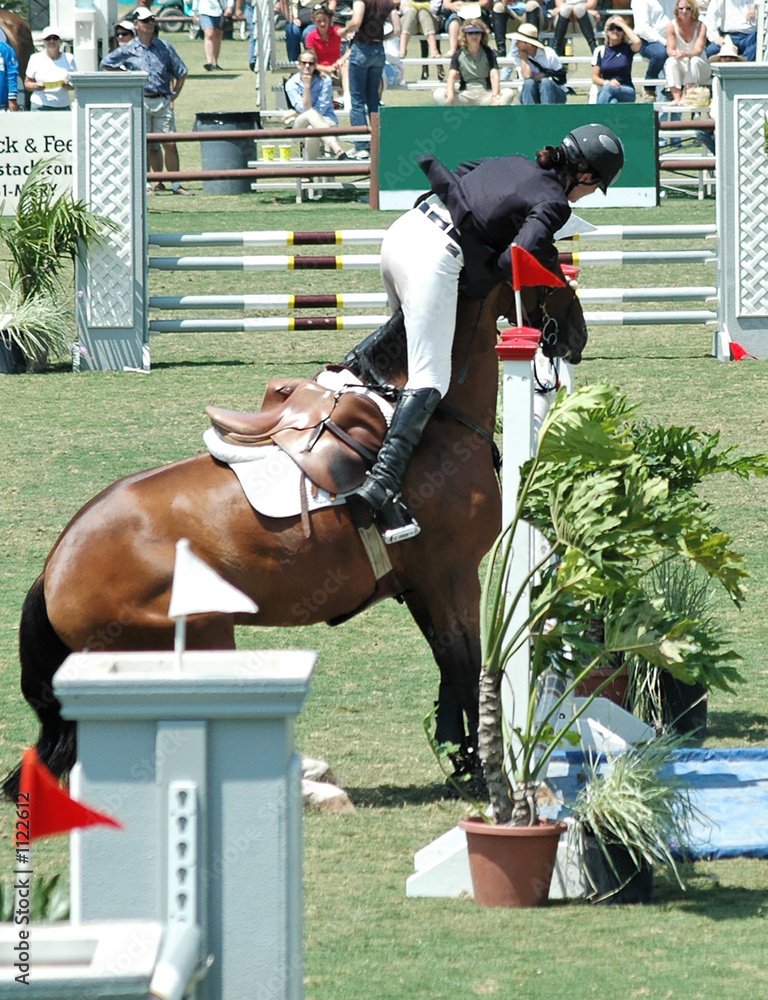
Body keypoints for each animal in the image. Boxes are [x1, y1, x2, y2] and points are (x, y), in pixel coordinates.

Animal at [1, 279, 586, 800]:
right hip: (199, 634)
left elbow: (448, 667)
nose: (578, 332)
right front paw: (488, 777)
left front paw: (464, 765)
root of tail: (53, 570)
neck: (429, 425)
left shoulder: (423, 586)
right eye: (554, 258)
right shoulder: (452, 577)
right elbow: (467, 670)